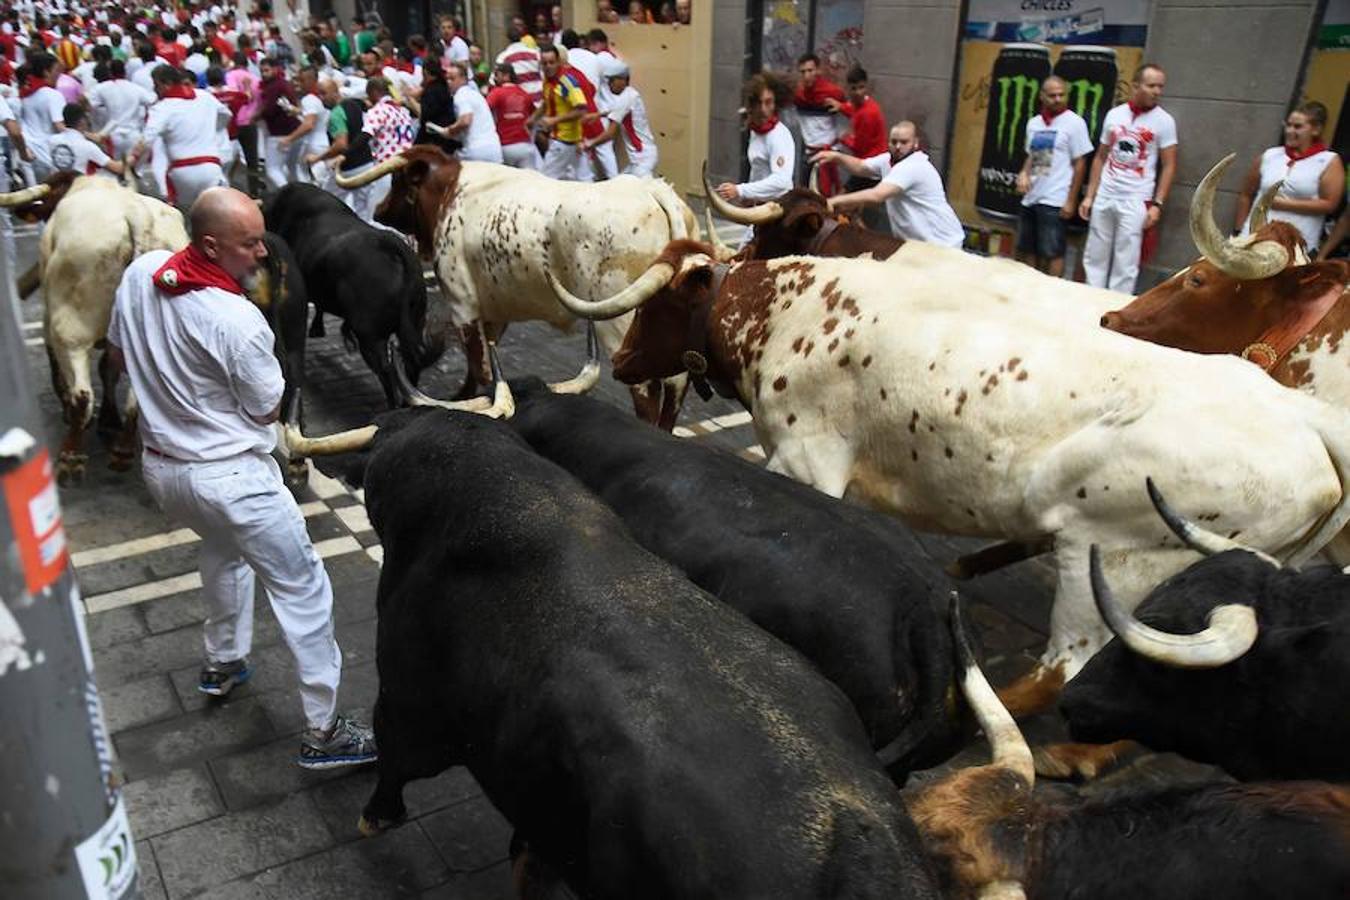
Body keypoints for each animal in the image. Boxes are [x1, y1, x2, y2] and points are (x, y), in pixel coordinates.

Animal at [336, 146, 696, 429]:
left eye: (397, 181)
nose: (379, 210)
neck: (451, 192)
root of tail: (647, 188)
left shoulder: (463, 307)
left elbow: (480, 367)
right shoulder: (493, 314)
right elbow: (484, 365)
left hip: (620, 324)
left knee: (647, 387)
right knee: (676, 381)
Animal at [545, 241, 1350, 717]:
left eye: (656, 303)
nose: (621, 363)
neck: (788, 312)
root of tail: (1302, 414)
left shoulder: (807, 458)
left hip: (1114, 558)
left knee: (1057, 675)